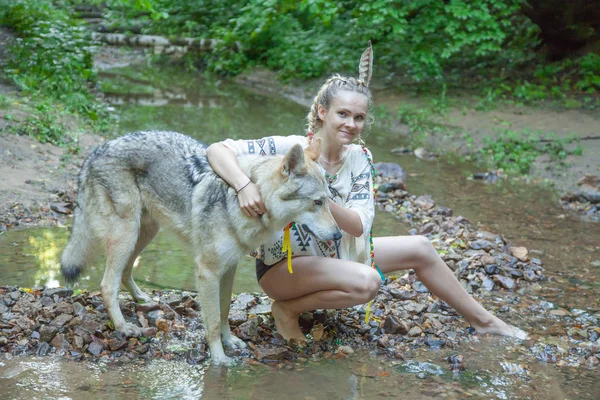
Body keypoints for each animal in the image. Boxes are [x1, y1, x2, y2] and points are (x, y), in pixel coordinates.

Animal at [63, 131, 342, 366]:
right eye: (317, 202)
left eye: (328, 201)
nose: (339, 234)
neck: (247, 197)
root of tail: (95, 151)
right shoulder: (207, 271)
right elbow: (213, 321)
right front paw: (219, 358)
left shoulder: (229, 268)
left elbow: (224, 310)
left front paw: (231, 341)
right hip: (127, 234)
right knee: (107, 285)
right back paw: (123, 327)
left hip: (143, 234)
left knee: (125, 272)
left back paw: (142, 298)